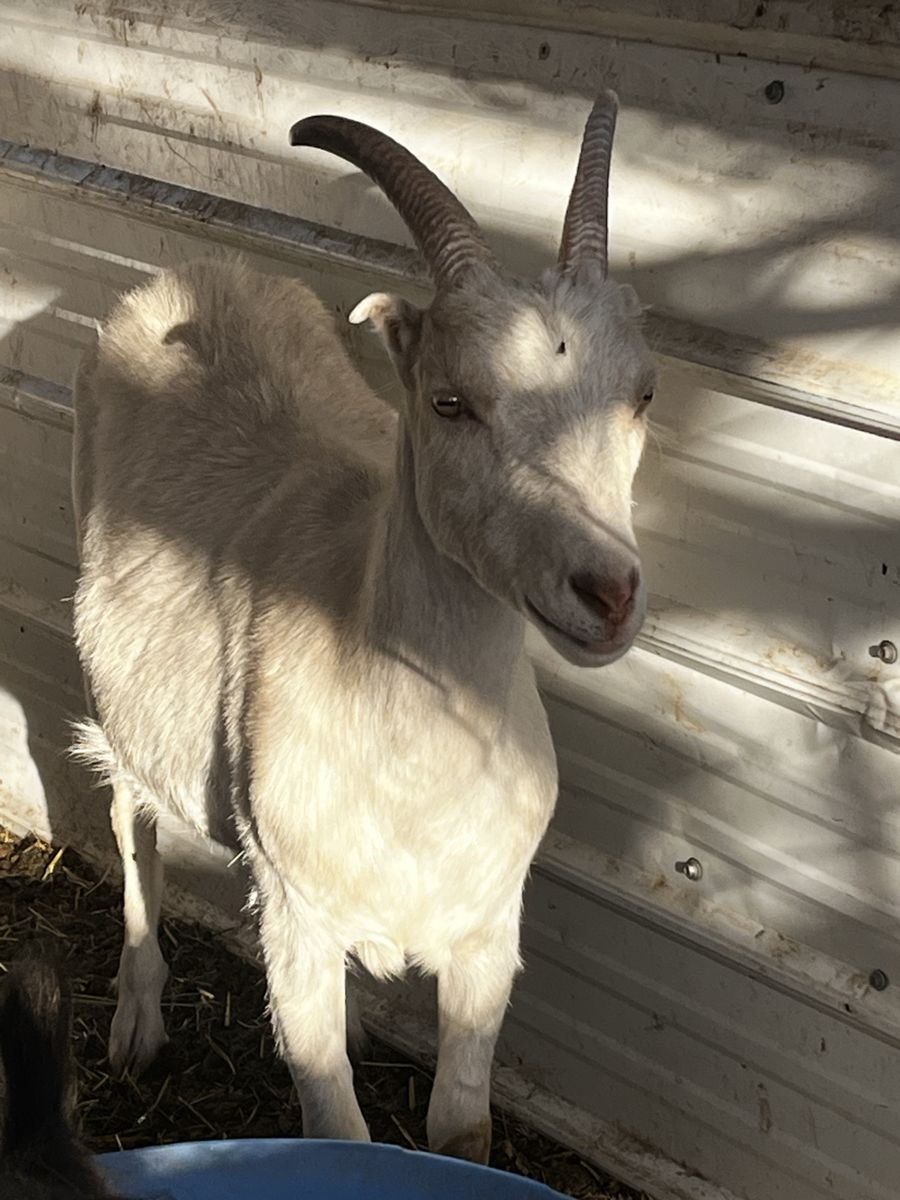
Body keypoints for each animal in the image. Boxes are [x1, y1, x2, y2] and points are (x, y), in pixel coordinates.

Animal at [71, 91, 655, 1162]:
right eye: (450, 400)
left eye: (643, 393)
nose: (607, 592)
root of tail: (193, 272)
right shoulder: (293, 914)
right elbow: (336, 1128)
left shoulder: (487, 935)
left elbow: (462, 1126)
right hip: (119, 694)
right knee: (130, 817)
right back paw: (136, 1026)